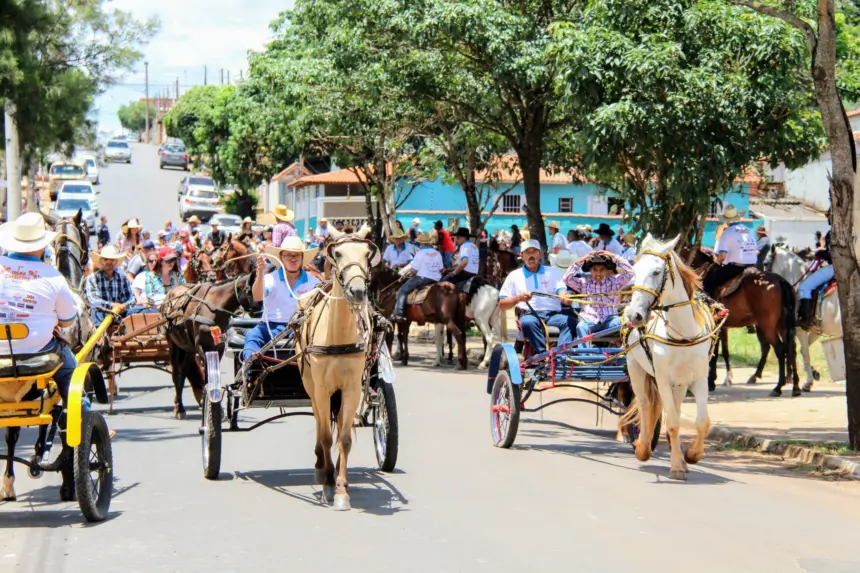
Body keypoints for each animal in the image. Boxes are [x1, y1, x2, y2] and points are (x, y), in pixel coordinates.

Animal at [160, 270, 256, 418]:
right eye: (252, 291)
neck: (213, 307)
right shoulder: (202, 348)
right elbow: (207, 376)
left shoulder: (219, 348)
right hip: (173, 344)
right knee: (176, 373)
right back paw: (179, 408)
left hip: (188, 348)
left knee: (184, 371)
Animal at [294, 225, 378, 510]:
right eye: (338, 253)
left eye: (366, 254)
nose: (358, 291)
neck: (337, 336)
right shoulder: (321, 388)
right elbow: (326, 436)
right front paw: (329, 483)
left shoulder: (351, 388)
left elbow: (344, 439)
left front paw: (342, 488)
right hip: (311, 385)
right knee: (319, 420)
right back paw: (321, 466)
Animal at [620, 235, 716, 480]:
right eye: (634, 271)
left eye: (656, 272)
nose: (635, 315)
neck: (683, 334)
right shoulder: (661, 377)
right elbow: (671, 422)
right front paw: (676, 466)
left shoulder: (700, 378)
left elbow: (703, 421)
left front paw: (692, 455)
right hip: (635, 368)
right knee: (644, 404)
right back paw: (643, 448)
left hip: (680, 383)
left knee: (676, 407)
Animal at [680, 246, 804, 398]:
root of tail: (781, 281)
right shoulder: (722, 326)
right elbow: (723, 351)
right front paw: (721, 379)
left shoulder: (716, 325)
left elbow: (715, 352)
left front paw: (712, 381)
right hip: (783, 325)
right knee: (791, 349)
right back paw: (795, 386)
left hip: (767, 326)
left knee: (779, 349)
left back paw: (778, 387)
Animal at [764, 248, 840, 392]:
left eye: (765, 263)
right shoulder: (815, 330)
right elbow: (802, 351)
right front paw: (813, 374)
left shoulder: (799, 330)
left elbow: (804, 353)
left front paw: (808, 382)